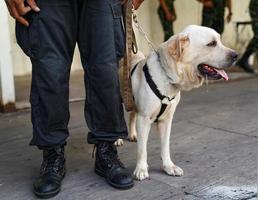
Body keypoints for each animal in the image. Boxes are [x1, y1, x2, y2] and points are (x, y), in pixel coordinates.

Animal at [117, 24, 238, 180]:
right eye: (212, 44)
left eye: (219, 40)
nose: (236, 55)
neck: (167, 77)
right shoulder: (144, 118)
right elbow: (142, 150)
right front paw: (141, 168)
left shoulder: (166, 120)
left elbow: (165, 146)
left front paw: (169, 166)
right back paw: (116, 140)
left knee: (132, 115)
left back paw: (132, 134)